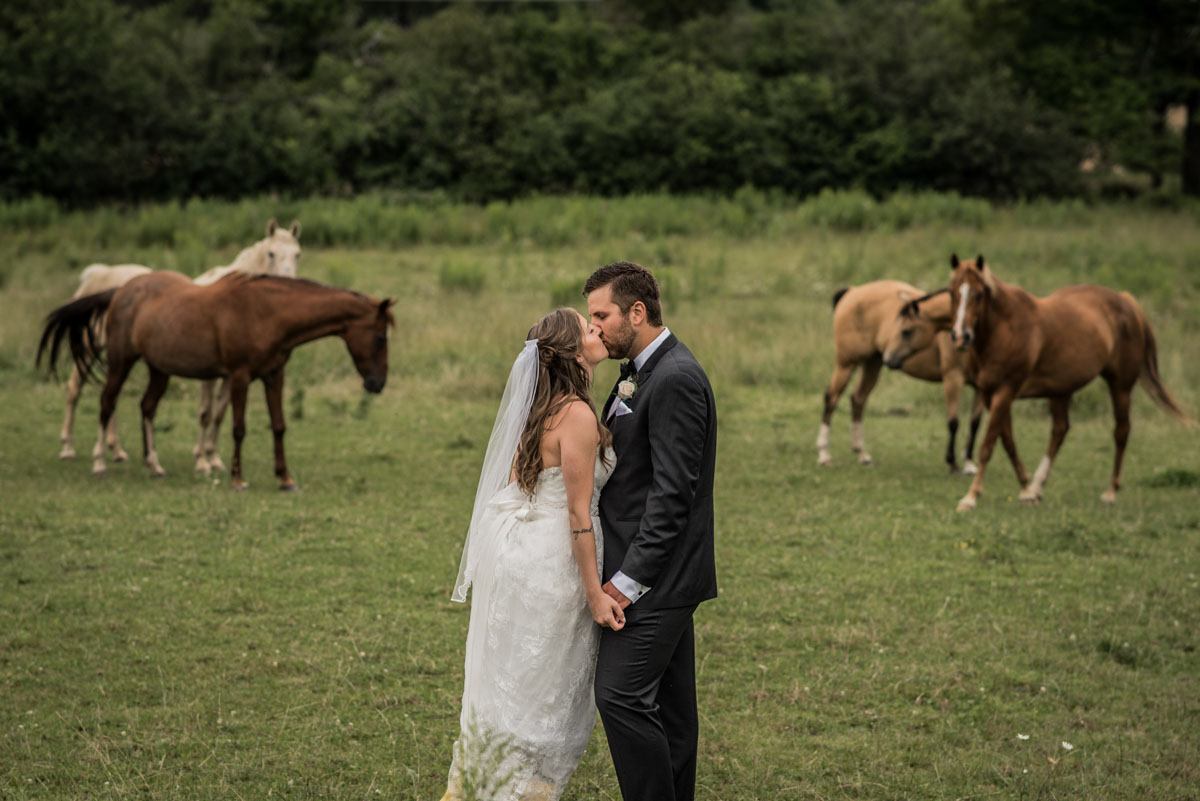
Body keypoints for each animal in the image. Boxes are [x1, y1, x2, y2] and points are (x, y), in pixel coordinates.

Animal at [38, 273, 392, 490]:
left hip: (159, 369)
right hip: (120, 361)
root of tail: (121, 291)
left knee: (147, 407)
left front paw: (285, 479)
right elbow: (238, 428)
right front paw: (237, 479)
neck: (268, 313)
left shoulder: (274, 375)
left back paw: (154, 466)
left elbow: (279, 426)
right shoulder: (239, 376)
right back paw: (99, 463)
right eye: (379, 338)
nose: (377, 384)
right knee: (106, 403)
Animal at [53, 219, 303, 465]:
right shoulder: (211, 375)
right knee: (74, 389)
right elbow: (206, 413)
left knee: (110, 397)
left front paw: (214, 458)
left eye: (297, 254)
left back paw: (116, 451)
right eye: (271, 253)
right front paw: (201, 461)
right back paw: (68, 448)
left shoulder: (232, 373)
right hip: (89, 350)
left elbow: (220, 414)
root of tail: (98, 274)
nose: (288, 286)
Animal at [818, 280, 984, 472]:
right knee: (831, 398)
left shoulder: (981, 386)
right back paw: (824, 454)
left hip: (873, 363)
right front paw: (953, 462)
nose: (890, 358)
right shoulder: (953, 377)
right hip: (846, 364)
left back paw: (862, 454)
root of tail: (853, 291)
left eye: (905, 331)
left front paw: (969, 464)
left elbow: (975, 424)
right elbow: (954, 421)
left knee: (858, 399)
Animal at [944, 254, 1193, 511]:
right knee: (1060, 430)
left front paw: (970, 497)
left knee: (1121, 431)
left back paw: (1110, 491)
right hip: (1060, 390)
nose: (961, 337)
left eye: (978, 294)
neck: (1004, 329)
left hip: (1120, 386)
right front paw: (1025, 489)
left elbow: (988, 445)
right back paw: (1037, 486)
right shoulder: (989, 393)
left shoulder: (1005, 391)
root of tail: (1127, 301)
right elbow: (1008, 441)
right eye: (952, 292)